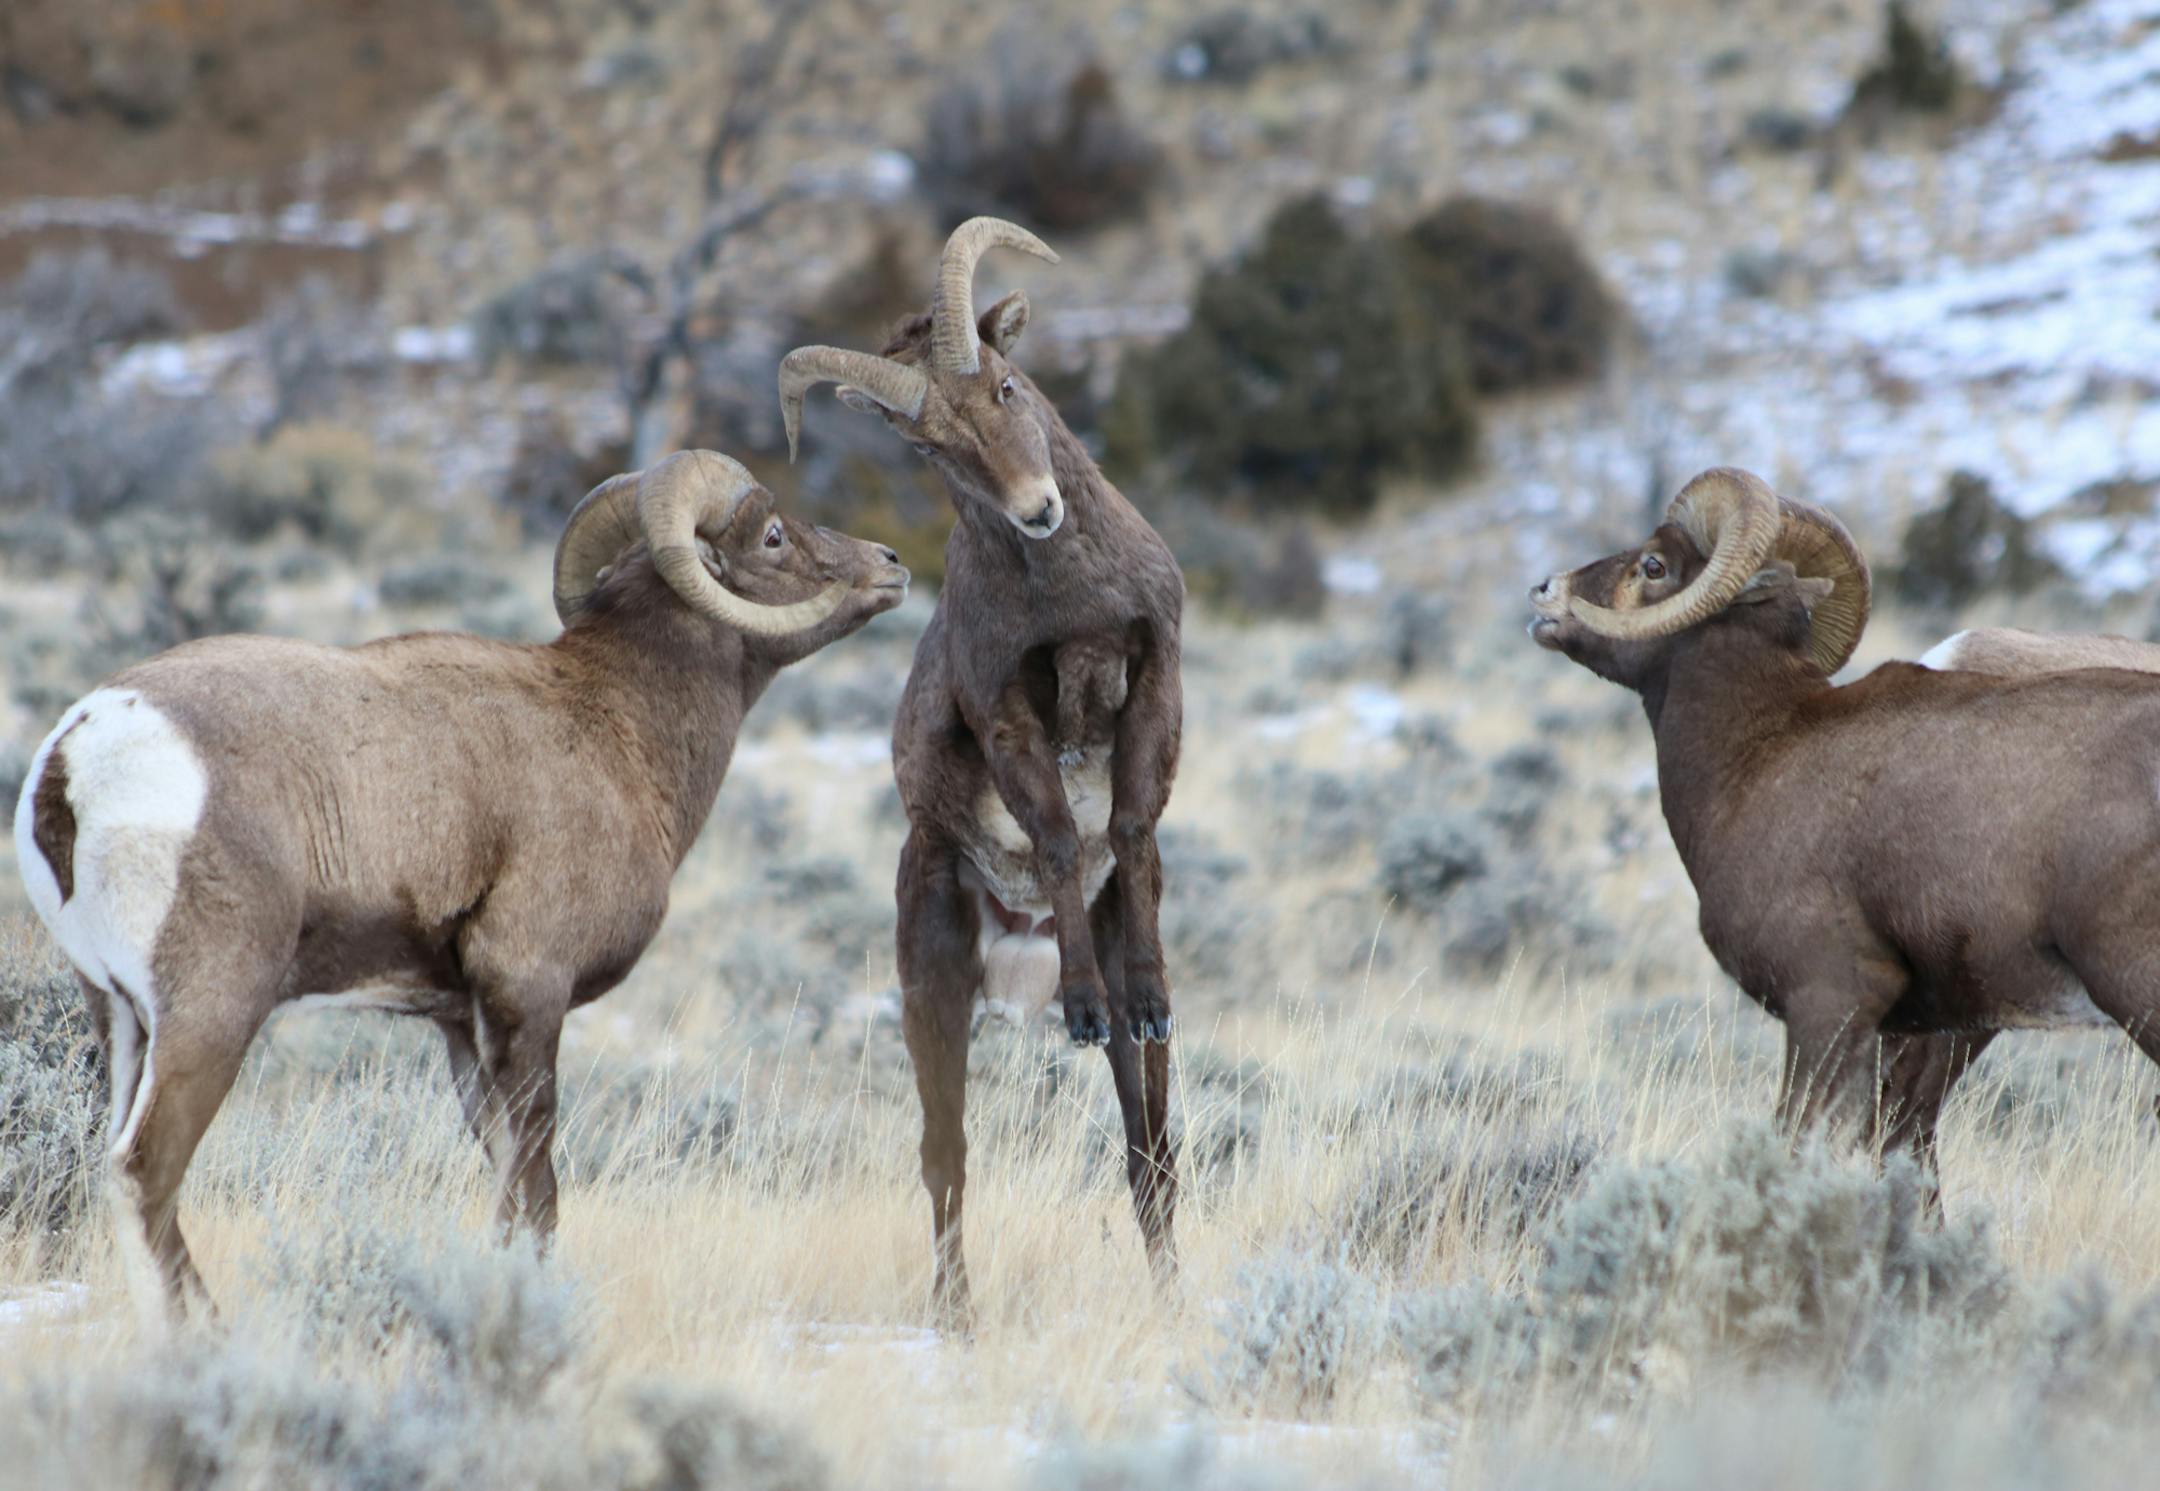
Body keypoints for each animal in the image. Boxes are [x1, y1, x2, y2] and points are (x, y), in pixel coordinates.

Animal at [11, 450, 908, 1319]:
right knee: (145, 1171)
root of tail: (75, 757)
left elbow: (508, 1176)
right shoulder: (527, 990)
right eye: (774, 537)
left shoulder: (461, 1025)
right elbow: (537, 1182)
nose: (892, 565)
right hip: (210, 1015)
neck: (618, 726)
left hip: (121, 1020)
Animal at [776, 218, 1185, 1319]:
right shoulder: (1008, 718)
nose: (1038, 511)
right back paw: (957, 1318)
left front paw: (1139, 994)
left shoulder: (1157, 672)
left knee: (1150, 1152)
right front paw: (1084, 1008)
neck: (1069, 598)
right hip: (934, 989)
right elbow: (1057, 835)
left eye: (1006, 385)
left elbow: (1127, 829)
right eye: (934, 446)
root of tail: (1018, 951)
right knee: (945, 1155)